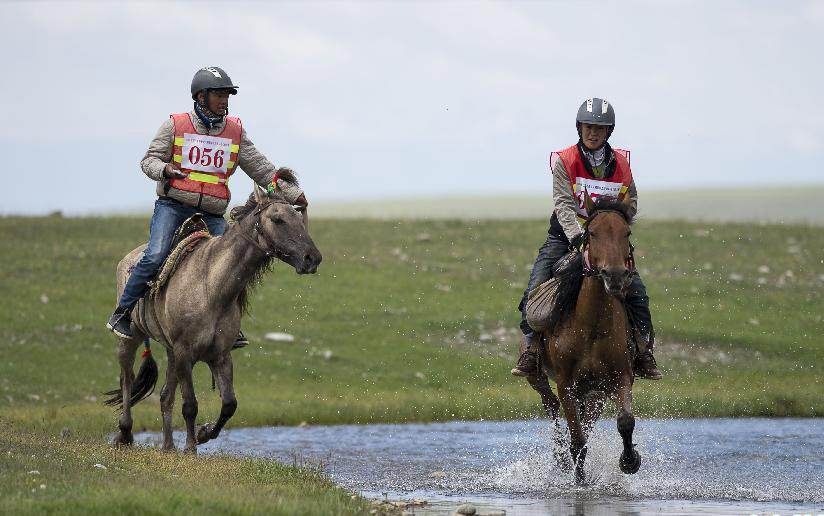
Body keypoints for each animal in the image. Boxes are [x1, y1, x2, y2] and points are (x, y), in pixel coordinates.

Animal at [104, 171, 322, 454]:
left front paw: (204, 433)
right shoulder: (185, 352)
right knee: (127, 380)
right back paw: (125, 434)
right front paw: (191, 448)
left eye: (299, 217)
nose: (312, 258)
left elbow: (229, 403)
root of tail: (127, 259)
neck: (211, 288)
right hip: (130, 340)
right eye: (277, 219)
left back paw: (167, 447)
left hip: (170, 352)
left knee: (164, 395)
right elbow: (190, 405)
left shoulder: (219, 355)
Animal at [528, 192, 644, 484]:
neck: (591, 326)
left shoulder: (620, 378)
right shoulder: (566, 384)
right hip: (539, 378)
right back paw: (560, 459)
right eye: (592, 232)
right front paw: (579, 481)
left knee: (585, 422)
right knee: (552, 408)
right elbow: (577, 439)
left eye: (626, 232)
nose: (615, 275)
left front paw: (630, 461)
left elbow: (625, 422)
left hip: (594, 393)